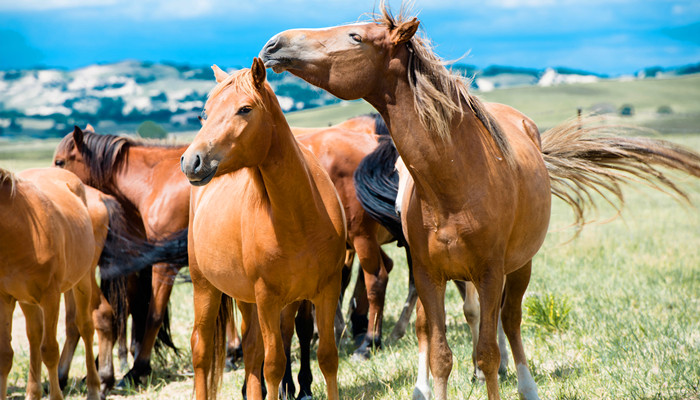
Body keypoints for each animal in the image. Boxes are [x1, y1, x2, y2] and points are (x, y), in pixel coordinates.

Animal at [0, 167, 100, 400]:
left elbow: (50, 351)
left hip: (83, 281)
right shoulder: (5, 298)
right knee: (34, 335)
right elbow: (5, 355)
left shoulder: (51, 296)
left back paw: (94, 388)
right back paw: (33, 393)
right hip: (27, 300)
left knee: (86, 327)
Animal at [180, 58, 346, 400]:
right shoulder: (268, 299)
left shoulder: (327, 289)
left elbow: (327, 357)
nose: (191, 161)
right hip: (205, 287)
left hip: (246, 298)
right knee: (201, 350)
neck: (300, 217)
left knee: (251, 350)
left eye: (244, 109)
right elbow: (274, 366)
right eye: (204, 113)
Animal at [259, 3, 700, 399]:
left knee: (511, 321)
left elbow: (488, 351)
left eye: (355, 37)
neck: (455, 182)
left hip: (519, 267)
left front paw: (493, 372)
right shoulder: (430, 275)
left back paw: (526, 385)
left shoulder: (490, 273)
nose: (273, 44)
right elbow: (440, 353)